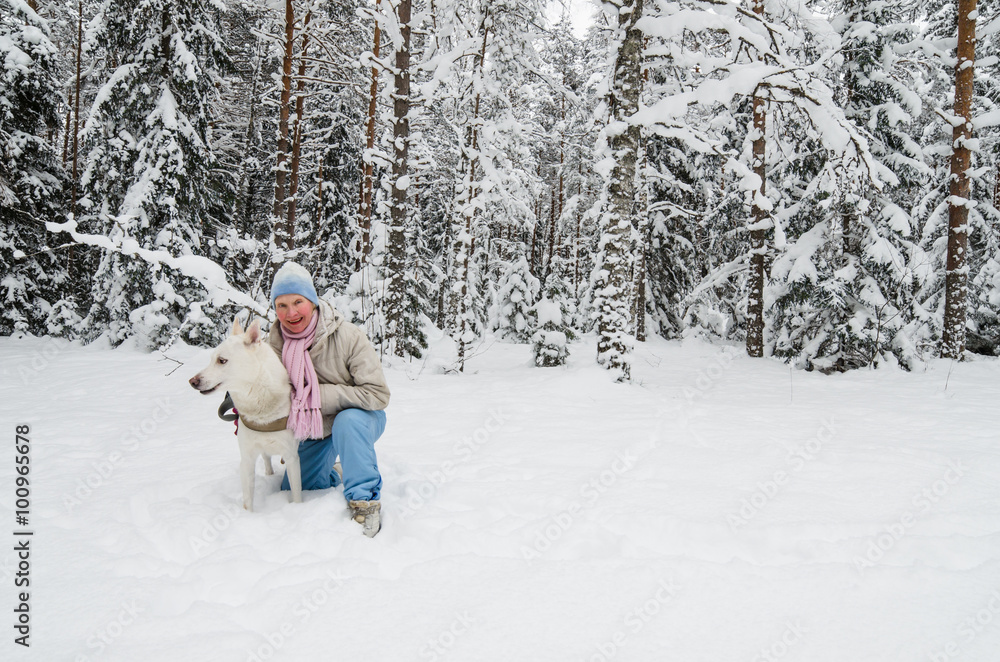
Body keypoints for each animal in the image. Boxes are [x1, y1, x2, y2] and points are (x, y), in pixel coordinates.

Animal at [188, 320, 300, 510]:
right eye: (211, 359)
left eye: (222, 360)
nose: (192, 381)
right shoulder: (247, 459)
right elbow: (248, 500)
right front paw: (248, 515)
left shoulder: (292, 457)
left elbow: (297, 494)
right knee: (266, 459)